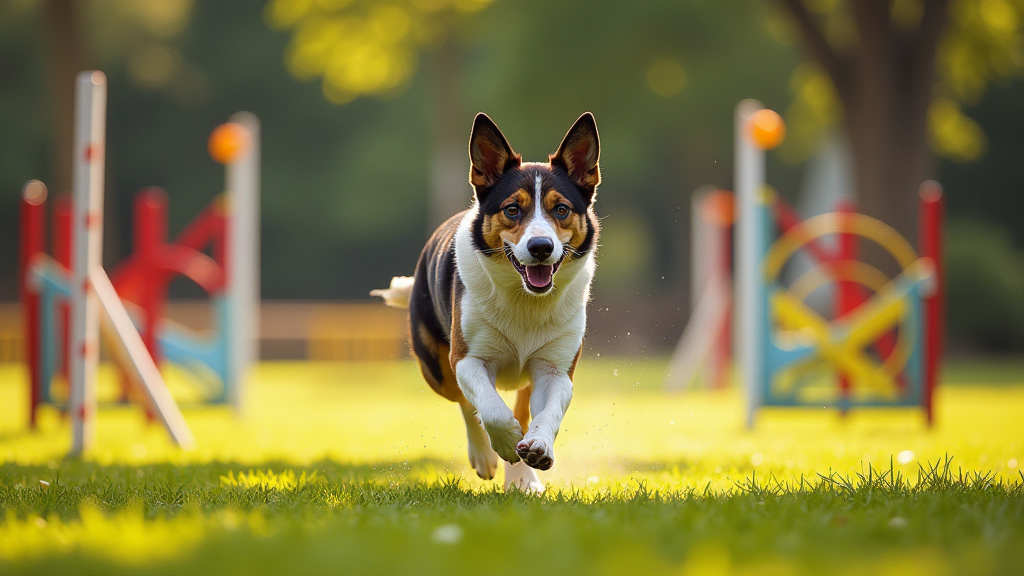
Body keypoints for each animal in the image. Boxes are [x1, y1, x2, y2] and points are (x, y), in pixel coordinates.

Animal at [372, 111, 598, 487]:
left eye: (562, 209)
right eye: (512, 209)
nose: (541, 247)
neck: (525, 300)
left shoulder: (555, 369)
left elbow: (547, 411)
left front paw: (536, 447)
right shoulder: (467, 358)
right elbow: (491, 410)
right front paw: (504, 443)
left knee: (519, 406)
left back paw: (522, 477)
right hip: (437, 369)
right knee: (466, 401)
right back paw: (486, 455)